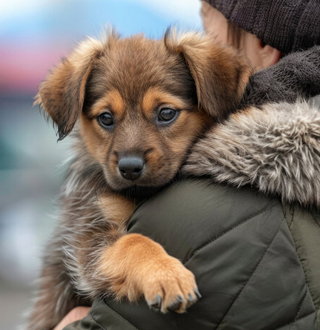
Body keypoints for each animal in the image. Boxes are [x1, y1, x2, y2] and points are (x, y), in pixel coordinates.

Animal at [28, 29, 251, 330]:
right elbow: (133, 242)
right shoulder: (87, 236)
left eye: (166, 113)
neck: (138, 195)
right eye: (106, 118)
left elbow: (131, 240)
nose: (130, 168)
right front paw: (167, 275)